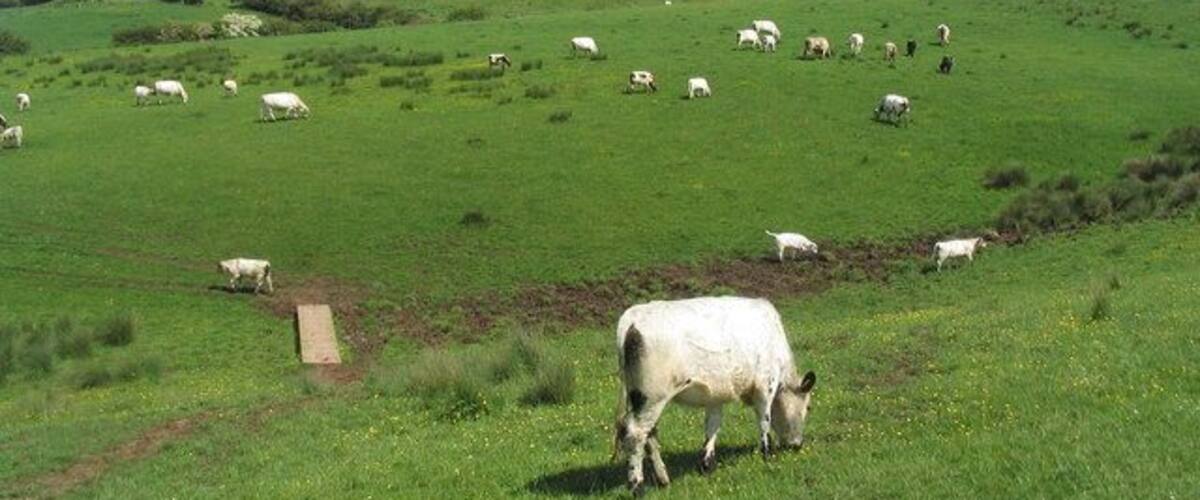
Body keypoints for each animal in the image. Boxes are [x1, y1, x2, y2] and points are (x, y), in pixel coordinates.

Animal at [614, 297, 818, 495]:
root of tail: (632, 318)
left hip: (642, 399)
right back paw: (637, 486)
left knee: (650, 434)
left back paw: (663, 480)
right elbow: (764, 420)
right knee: (636, 433)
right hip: (652, 397)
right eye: (808, 407)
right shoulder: (765, 385)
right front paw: (767, 453)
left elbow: (713, 425)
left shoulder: (715, 395)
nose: (797, 445)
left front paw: (707, 465)